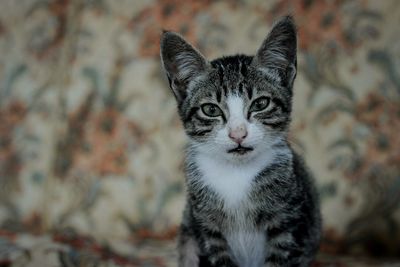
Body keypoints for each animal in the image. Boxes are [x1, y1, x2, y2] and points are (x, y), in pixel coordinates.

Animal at [160, 15, 322, 266]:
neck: (236, 174)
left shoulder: (290, 221)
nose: (238, 133)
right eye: (210, 109)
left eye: (260, 104)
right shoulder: (205, 227)